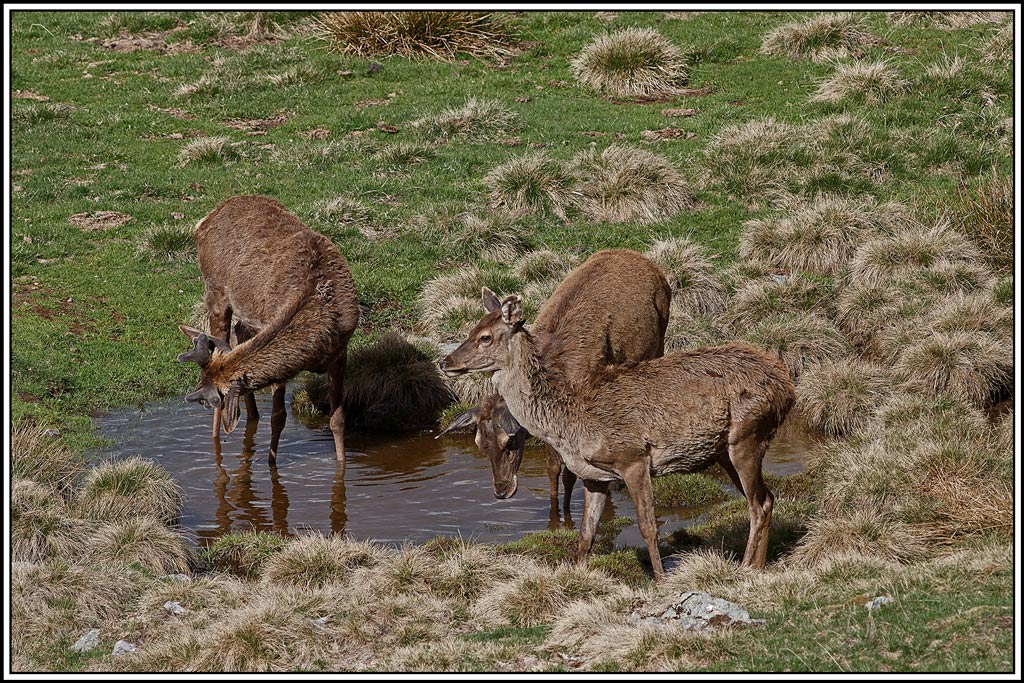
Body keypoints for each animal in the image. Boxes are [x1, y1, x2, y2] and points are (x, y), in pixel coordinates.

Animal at [177, 195, 359, 472]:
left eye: (213, 398)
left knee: (239, 332)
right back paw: (216, 443)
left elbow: (337, 419)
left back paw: (251, 416)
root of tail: (204, 220)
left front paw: (341, 468)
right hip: (215, 289)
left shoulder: (341, 351)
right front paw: (271, 465)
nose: (201, 399)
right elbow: (278, 417)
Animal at [439, 249, 671, 519]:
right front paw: (555, 514)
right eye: (480, 445)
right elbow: (552, 467)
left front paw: (567, 517)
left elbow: (570, 472)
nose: (501, 491)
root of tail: (644, 259)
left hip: (661, 333)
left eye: (509, 442)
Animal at [440, 289, 795, 581]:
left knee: (757, 505)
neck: (570, 424)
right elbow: (586, 533)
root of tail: (786, 385)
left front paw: (661, 581)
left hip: (747, 434)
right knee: (767, 498)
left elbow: (648, 527)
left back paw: (746, 568)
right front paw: (577, 578)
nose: (446, 361)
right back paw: (757, 567)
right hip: (724, 450)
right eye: (471, 330)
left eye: (485, 337)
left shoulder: (633, 458)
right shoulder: (595, 475)